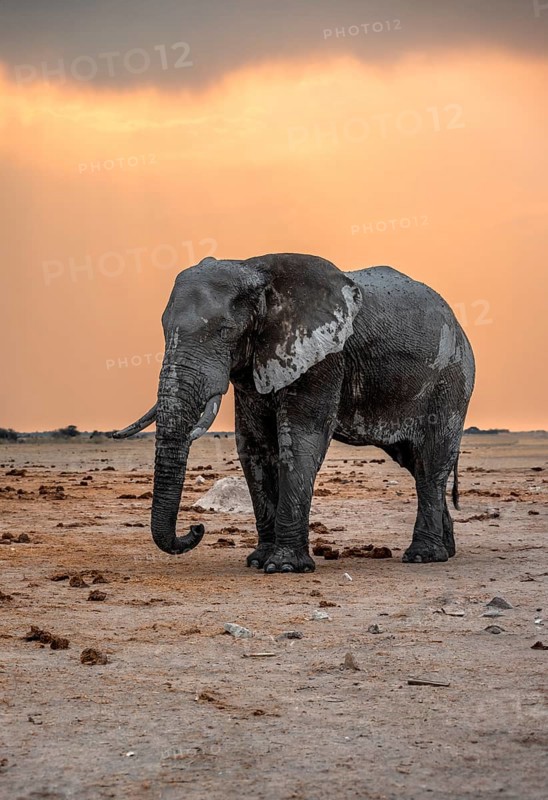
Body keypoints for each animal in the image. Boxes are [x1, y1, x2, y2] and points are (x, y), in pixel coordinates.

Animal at [113, 253, 475, 572]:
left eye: (225, 331)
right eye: (163, 329)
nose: (197, 528)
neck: (256, 271)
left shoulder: (324, 357)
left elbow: (301, 441)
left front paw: (284, 566)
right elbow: (253, 447)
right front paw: (258, 561)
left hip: (451, 381)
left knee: (431, 462)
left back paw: (423, 556)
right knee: (415, 463)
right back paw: (446, 551)